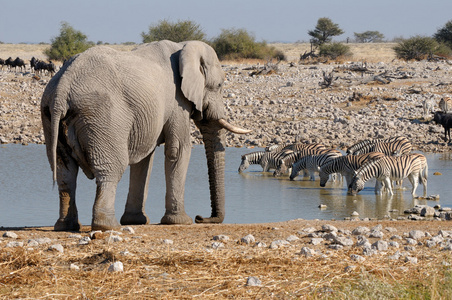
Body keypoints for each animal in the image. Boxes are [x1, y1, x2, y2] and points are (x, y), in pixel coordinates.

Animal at [40, 39, 251, 232]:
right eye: (220, 85)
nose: (202, 218)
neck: (183, 47)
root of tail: (62, 88)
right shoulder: (177, 102)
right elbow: (178, 150)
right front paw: (181, 221)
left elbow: (145, 159)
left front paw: (136, 221)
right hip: (101, 117)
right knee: (110, 169)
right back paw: (108, 226)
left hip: (49, 117)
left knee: (65, 172)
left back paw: (66, 226)